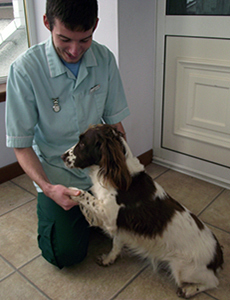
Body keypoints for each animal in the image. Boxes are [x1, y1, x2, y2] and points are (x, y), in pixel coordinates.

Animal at [61, 123, 223, 298]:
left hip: (183, 269)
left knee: (213, 282)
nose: (62, 156)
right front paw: (108, 259)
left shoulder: (109, 216)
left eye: (83, 144)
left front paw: (72, 192)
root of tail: (217, 254)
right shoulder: (119, 226)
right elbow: (116, 244)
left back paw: (189, 290)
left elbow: (85, 195)